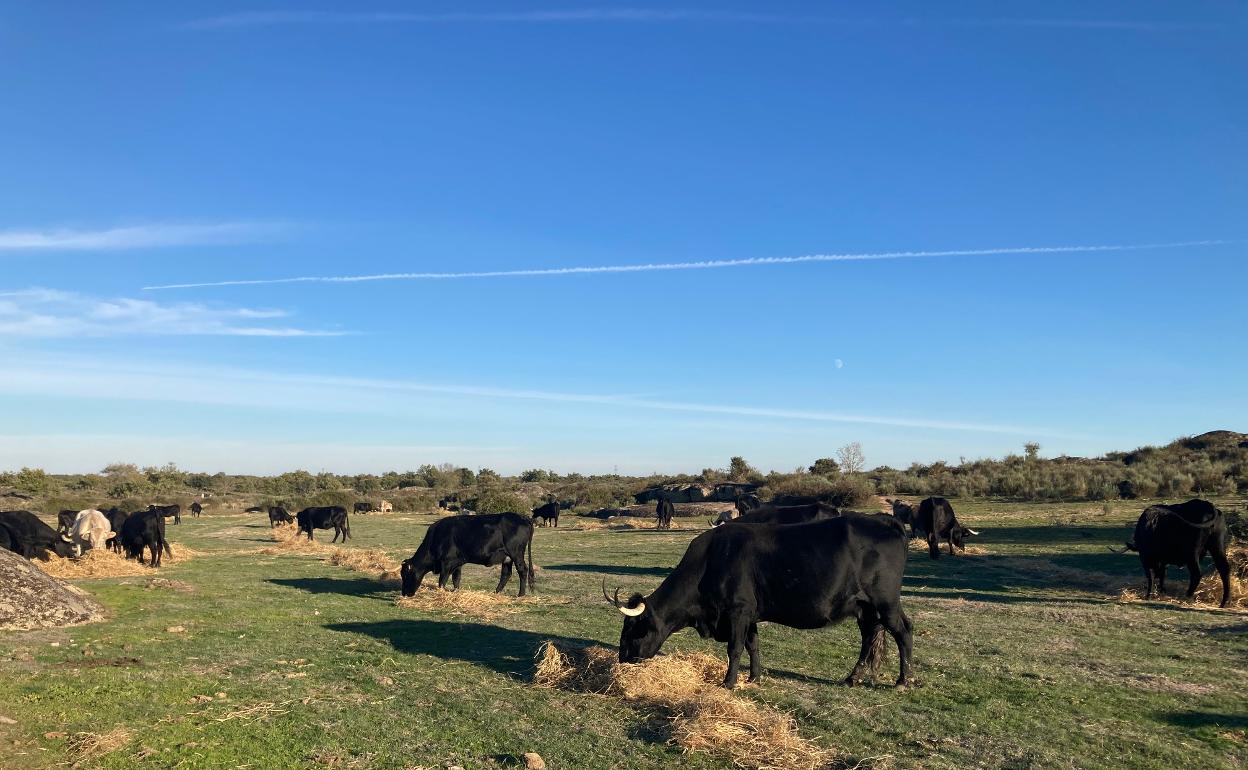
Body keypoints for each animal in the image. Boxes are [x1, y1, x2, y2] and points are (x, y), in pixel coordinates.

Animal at [399, 514, 536, 596]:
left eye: (405, 575)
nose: (404, 593)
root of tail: (523, 517)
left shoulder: (446, 563)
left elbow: (442, 580)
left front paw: (441, 593)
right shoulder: (457, 562)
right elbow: (456, 579)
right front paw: (456, 592)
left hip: (516, 553)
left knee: (522, 571)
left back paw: (520, 594)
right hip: (507, 557)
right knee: (506, 574)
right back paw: (496, 592)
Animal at [606, 514, 918, 688]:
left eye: (633, 629)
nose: (623, 659)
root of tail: (885, 521)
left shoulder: (737, 612)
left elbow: (734, 649)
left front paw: (728, 683)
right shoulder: (750, 615)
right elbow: (753, 646)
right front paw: (754, 678)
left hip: (885, 603)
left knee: (903, 631)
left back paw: (903, 681)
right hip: (865, 608)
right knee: (868, 640)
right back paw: (853, 678)